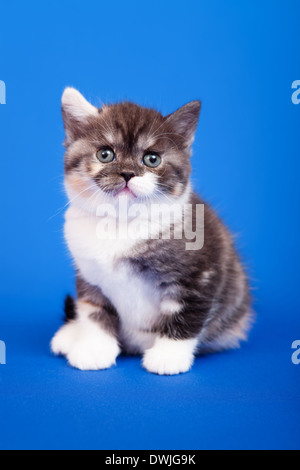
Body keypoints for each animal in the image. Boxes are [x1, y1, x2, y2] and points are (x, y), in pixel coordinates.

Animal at [50, 87, 252, 374]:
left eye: (152, 159)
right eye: (105, 154)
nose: (127, 173)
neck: (120, 224)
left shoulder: (201, 273)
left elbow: (186, 313)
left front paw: (168, 356)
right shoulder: (89, 275)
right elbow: (93, 311)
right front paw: (94, 349)